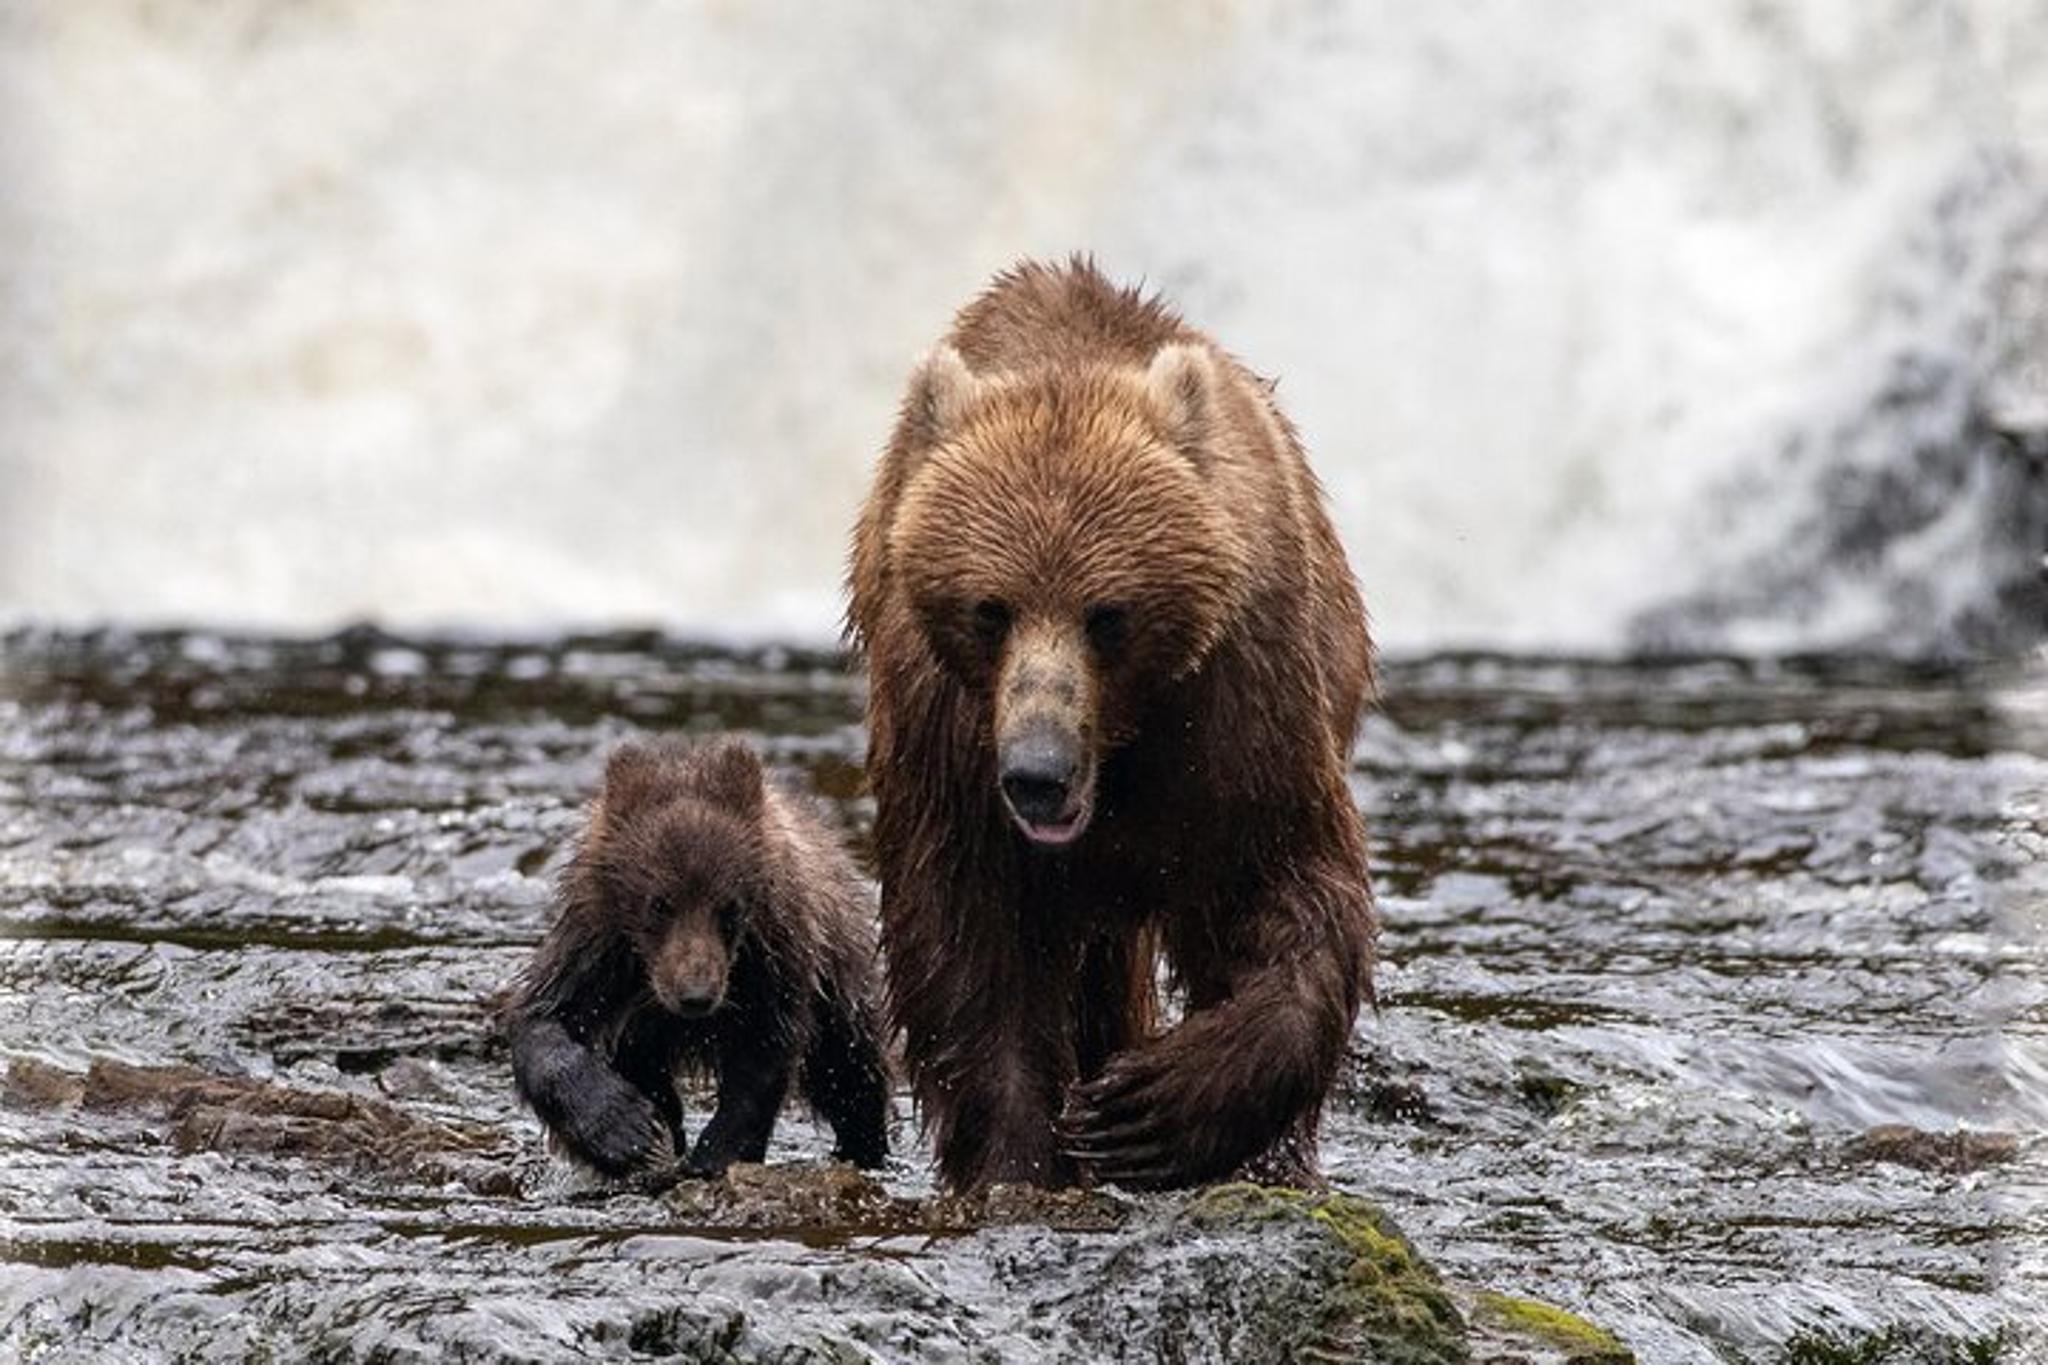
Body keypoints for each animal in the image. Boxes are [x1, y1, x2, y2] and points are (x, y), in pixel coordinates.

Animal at [503, 736, 890, 1179]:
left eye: (729, 906)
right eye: (659, 904)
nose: (696, 995)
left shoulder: (772, 957)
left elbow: (763, 1057)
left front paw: (714, 1154)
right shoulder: (598, 948)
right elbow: (544, 1017)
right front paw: (626, 1130)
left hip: (841, 973)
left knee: (850, 1068)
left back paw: (863, 1145)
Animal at [847, 256, 1377, 1193]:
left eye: (1109, 614)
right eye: (991, 609)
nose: (1038, 770)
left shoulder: (1238, 707)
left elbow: (1285, 886)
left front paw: (1149, 1107)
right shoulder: (945, 736)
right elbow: (967, 943)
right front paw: (1021, 1155)